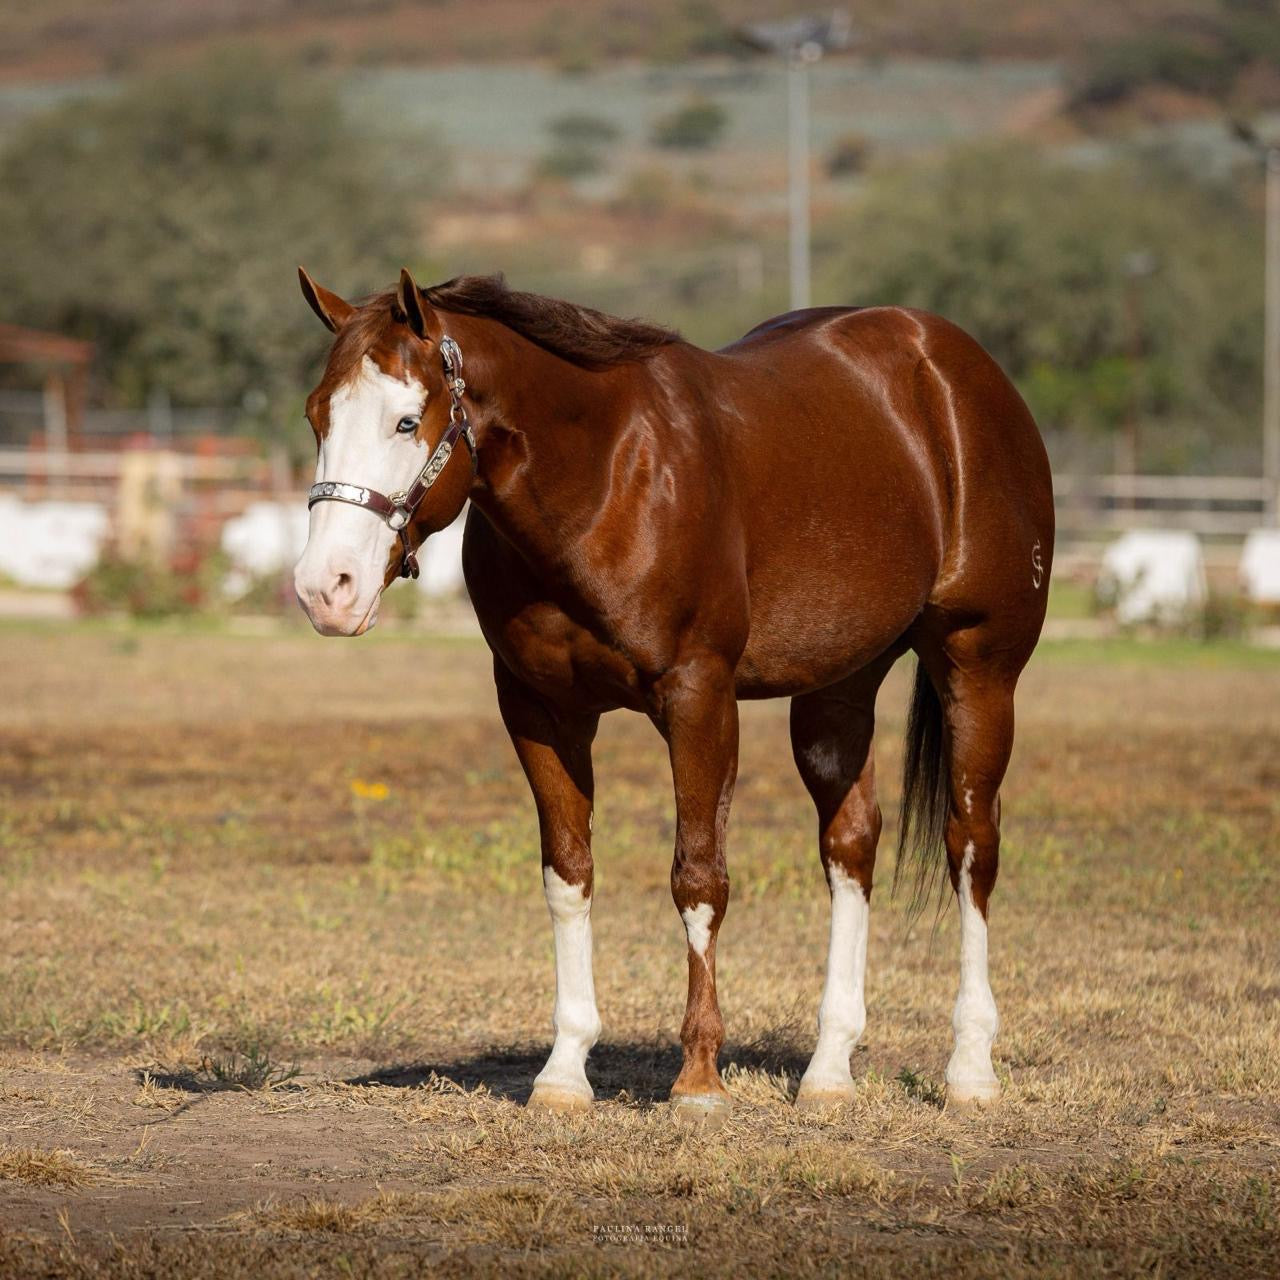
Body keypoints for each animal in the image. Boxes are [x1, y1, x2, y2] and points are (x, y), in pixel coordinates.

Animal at [293, 266, 1054, 1121]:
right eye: (317, 416)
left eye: (405, 420)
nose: (325, 589)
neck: (605, 475)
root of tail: (951, 365)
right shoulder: (539, 709)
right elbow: (569, 875)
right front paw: (565, 1071)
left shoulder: (698, 698)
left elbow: (698, 877)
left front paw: (697, 1079)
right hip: (838, 689)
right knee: (851, 845)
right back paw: (829, 1071)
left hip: (979, 668)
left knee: (971, 847)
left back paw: (970, 1071)